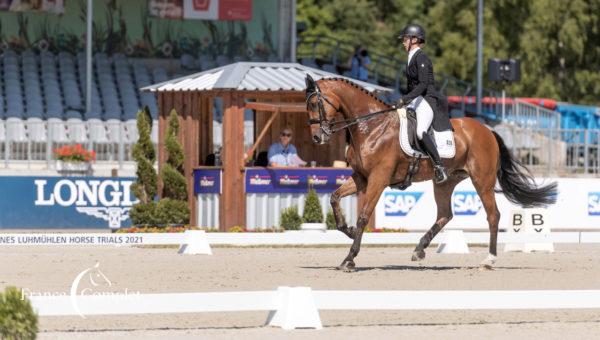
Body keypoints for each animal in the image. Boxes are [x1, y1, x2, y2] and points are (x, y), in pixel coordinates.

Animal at [304, 75, 556, 272]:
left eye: (315, 103)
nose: (317, 137)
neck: (371, 127)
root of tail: (487, 130)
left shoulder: (378, 179)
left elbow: (364, 216)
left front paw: (349, 258)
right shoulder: (361, 177)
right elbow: (334, 198)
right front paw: (346, 230)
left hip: (482, 181)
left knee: (493, 215)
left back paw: (489, 260)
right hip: (444, 182)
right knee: (445, 214)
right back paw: (419, 249)